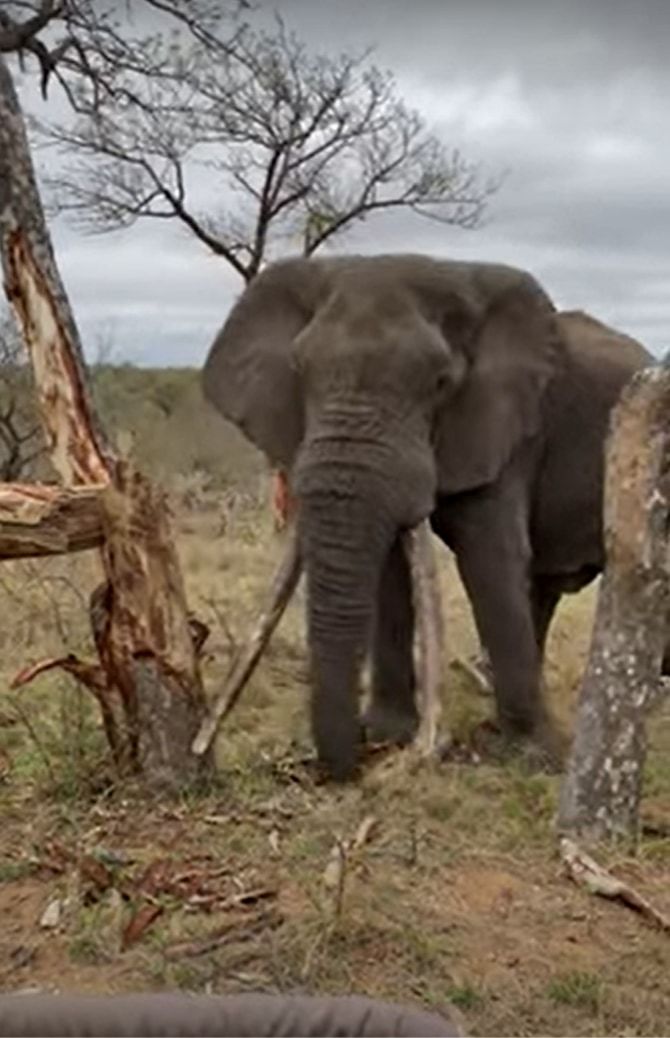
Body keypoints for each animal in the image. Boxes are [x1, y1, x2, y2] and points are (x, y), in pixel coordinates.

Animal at [203, 255, 652, 780]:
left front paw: (529, 757)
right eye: (299, 370)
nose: (352, 761)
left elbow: (488, 557)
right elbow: (391, 567)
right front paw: (388, 733)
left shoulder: (509, 429)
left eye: (440, 383)